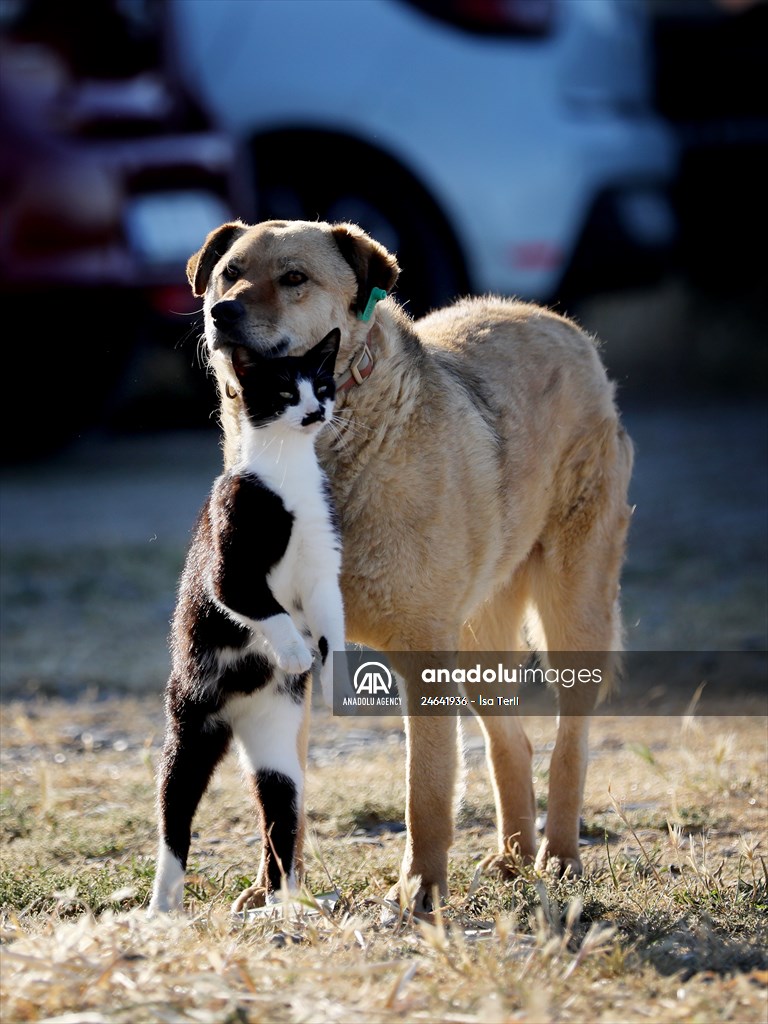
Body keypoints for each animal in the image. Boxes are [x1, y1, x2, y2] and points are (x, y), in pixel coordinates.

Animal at [148, 325, 346, 913]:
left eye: (321, 384)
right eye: (283, 391)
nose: (314, 410)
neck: (287, 475)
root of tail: (236, 716)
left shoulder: (323, 566)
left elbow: (328, 618)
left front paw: (332, 671)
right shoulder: (231, 561)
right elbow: (259, 604)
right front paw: (296, 652)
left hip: (276, 739)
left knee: (279, 808)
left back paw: (280, 905)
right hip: (190, 724)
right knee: (174, 814)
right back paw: (163, 903)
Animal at [186, 218, 638, 913]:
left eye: (294, 278)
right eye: (228, 273)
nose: (221, 312)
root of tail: (560, 324)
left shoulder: (423, 652)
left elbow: (424, 789)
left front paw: (420, 889)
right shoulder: (286, 659)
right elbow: (278, 798)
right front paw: (272, 890)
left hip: (572, 614)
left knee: (569, 742)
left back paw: (558, 857)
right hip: (477, 643)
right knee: (513, 741)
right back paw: (513, 859)